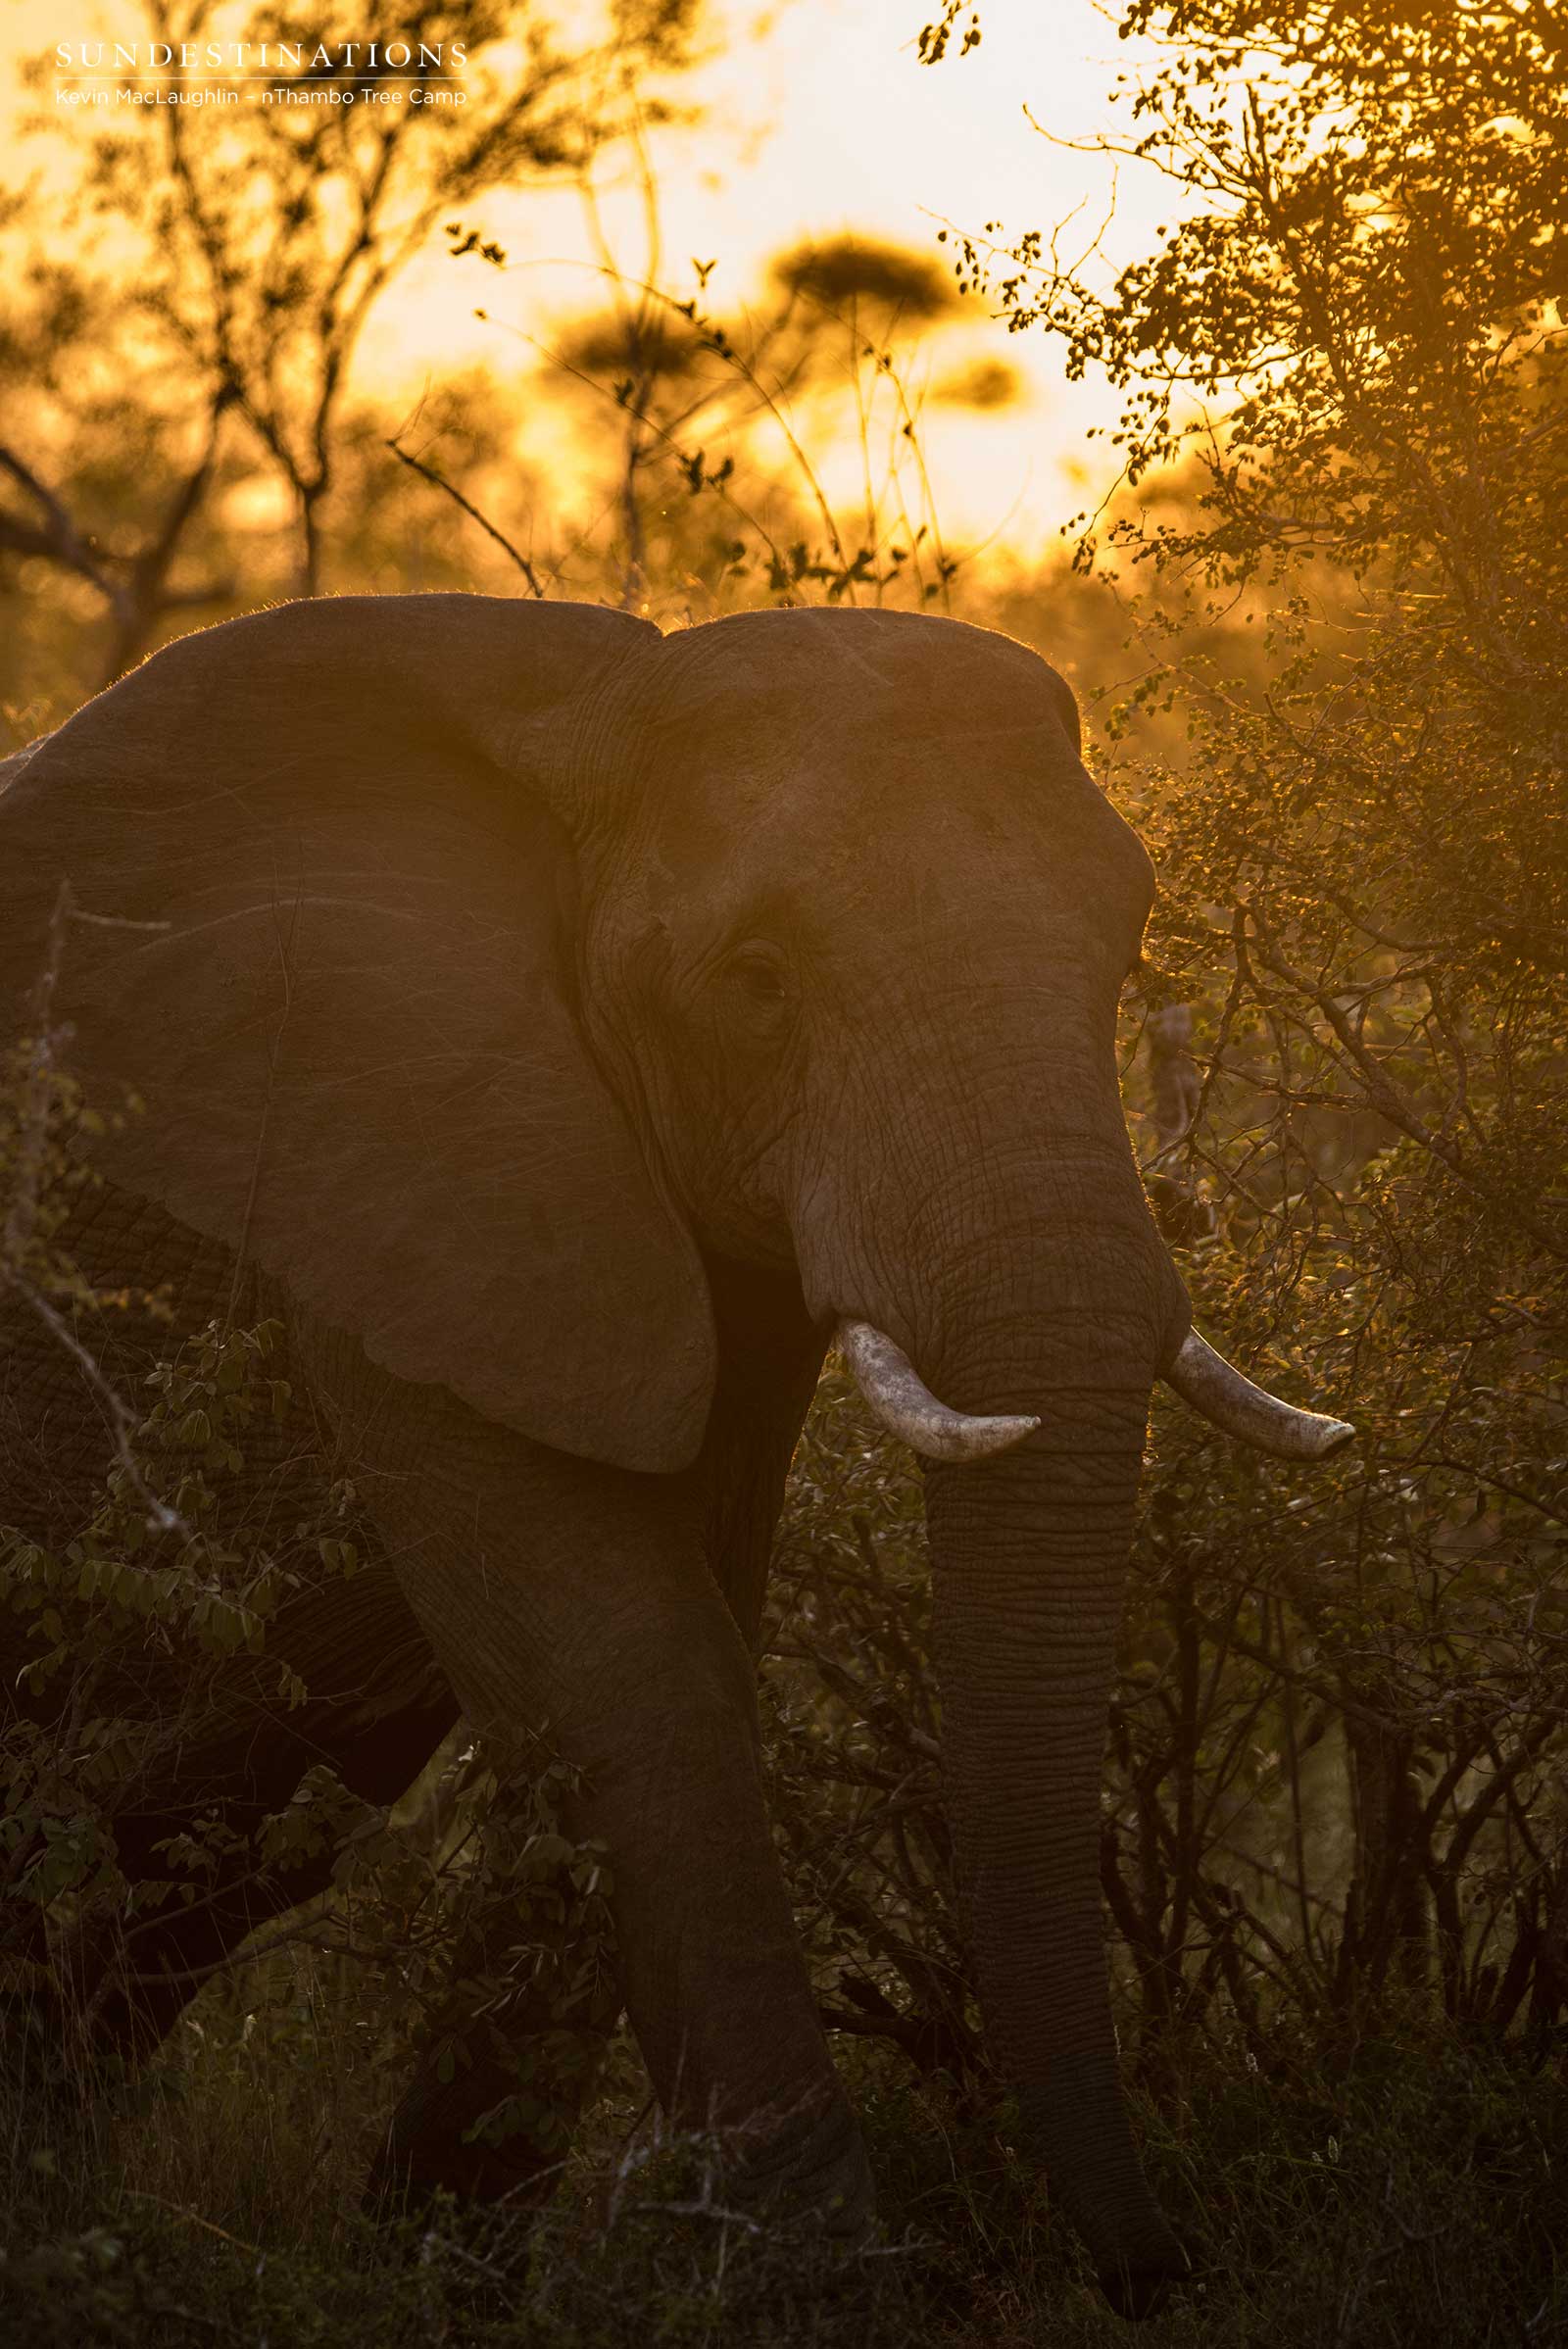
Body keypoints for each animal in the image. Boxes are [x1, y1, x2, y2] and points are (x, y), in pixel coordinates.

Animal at [0, 594, 1353, 2319]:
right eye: (754, 982)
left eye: (1126, 959)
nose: (1153, 2271)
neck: (591, 716)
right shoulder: (384, 1140)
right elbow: (632, 1663)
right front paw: (810, 2282)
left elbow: (676, 1619)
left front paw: (445, 2274)